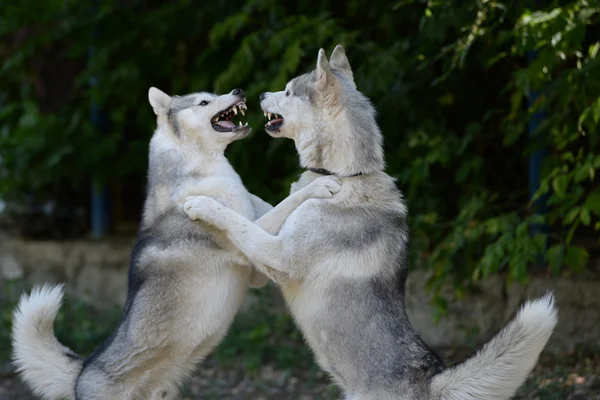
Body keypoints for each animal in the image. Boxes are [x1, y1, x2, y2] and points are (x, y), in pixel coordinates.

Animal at [11, 86, 342, 398]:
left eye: (216, 94)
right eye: (204, 102)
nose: (238, 90)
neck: (202, 169)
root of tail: (81, 374)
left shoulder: (257, 258)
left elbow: (273, 205)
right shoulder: (251, 252)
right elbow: (279, 206)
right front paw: (318, 186)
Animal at [182, 47, 556, 400]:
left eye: (287, 91)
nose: (258, 94)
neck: (347, 175)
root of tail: (430, 380)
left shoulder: (278, 255)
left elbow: (237, 221)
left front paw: (202, 203)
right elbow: (265, 210)